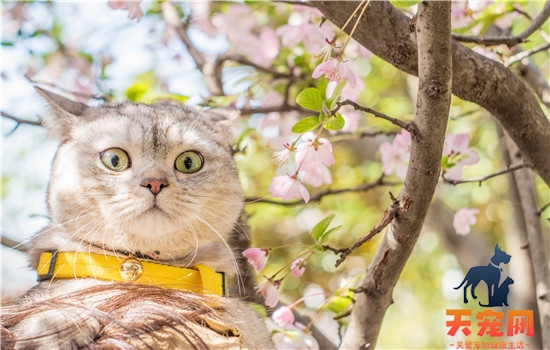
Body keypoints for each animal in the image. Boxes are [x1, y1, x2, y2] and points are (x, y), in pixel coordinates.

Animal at [2, 86, 274, 348]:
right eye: (114, 159)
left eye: (189, 162)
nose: (154, 182)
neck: (143, 268)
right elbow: (55, 306)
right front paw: (52, 328)